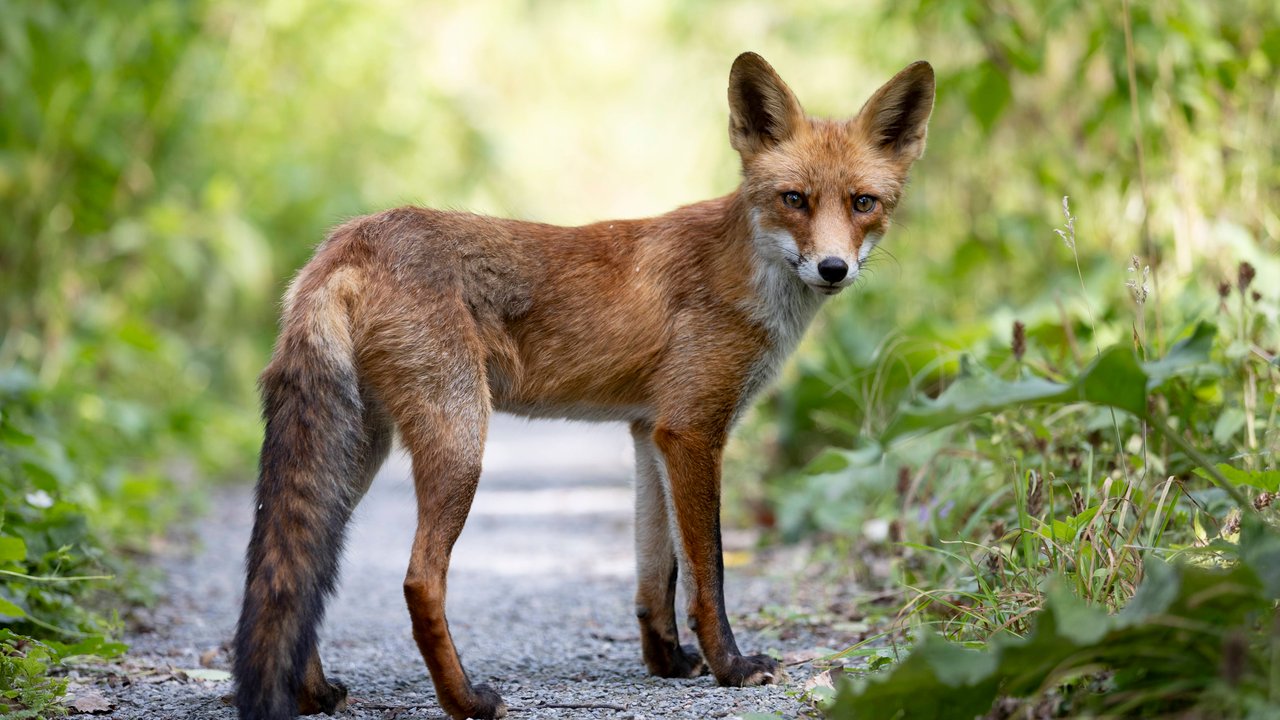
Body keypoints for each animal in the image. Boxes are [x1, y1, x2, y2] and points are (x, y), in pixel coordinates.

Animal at [232, 51, 931, 717]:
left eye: (863, 203)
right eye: (794, 199)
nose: (833, 268)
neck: (744, 272)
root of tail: (346, 241)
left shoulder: (651, 431)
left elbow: (657, 569)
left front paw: (668, 661)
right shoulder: (694, 430)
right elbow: (708, 572)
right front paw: (730, 667)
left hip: (358, 448)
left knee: (303, 568)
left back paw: (313, 692)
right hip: (460, 441)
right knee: (418, 581)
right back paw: (466, 701)